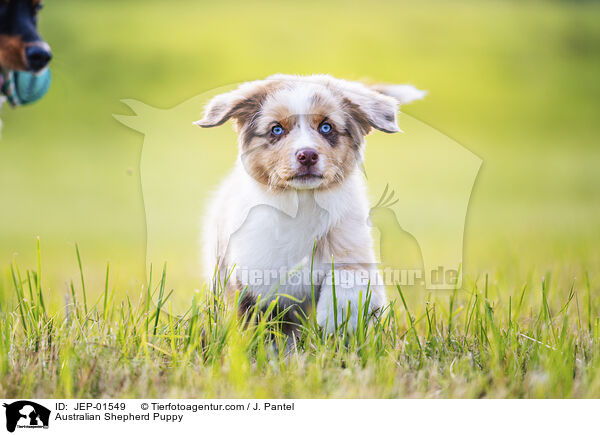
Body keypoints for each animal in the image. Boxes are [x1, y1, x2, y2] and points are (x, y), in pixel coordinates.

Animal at [195, 75, 424, 334]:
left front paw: (335, 320)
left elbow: (350, 279)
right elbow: (269, 326)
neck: (302, 203)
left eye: (326, 127)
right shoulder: (254, 275)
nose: (307, 155)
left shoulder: (355, 253)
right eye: (276, 129)